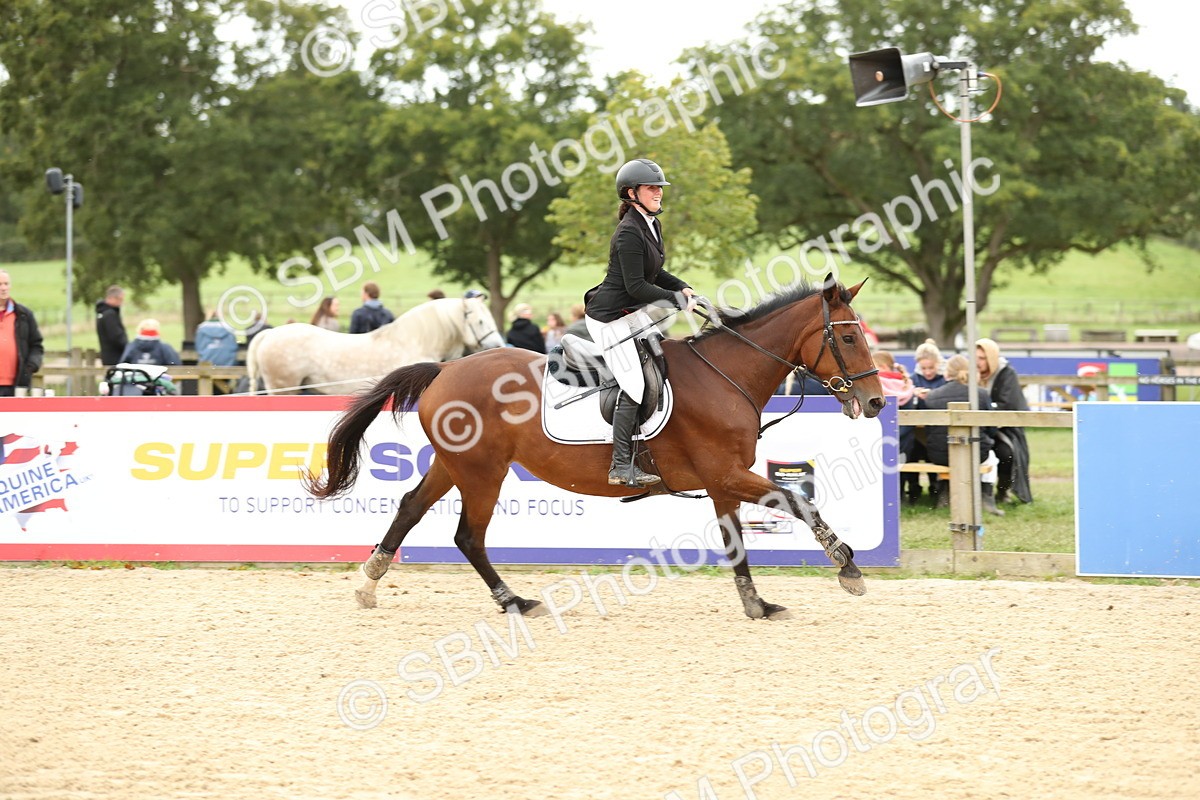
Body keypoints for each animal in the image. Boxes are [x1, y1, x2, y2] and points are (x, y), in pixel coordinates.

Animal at [306, 278, 886, 619]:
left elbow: (736, 541)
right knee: (468, 535)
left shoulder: (724, 480)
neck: (727, 375)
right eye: (849, 338)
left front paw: (757, 604)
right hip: (482, 472)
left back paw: (369, 584)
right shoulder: (726, 473)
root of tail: (445, 369)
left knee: (410, 509)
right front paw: (848, 567)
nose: (877, 401)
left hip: (456, 465)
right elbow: (799, 501)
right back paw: (513, 600)